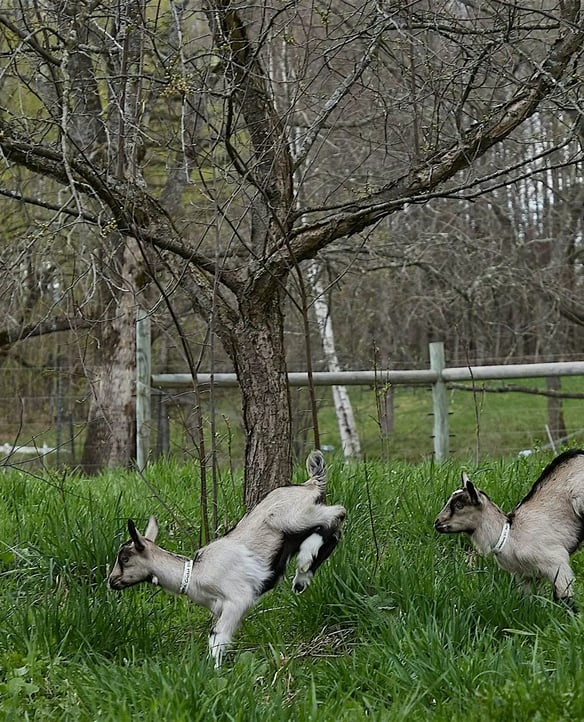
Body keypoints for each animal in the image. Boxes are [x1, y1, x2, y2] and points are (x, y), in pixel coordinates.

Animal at [107, 450, 346, 666]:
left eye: (125, 558)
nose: (111, 581)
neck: (195, 574)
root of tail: (310, 484)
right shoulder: (220, 609)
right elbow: (215, 636)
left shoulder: (238, 600)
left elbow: (218, 637)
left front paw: (214, 671)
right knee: (333, 531)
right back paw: (302, 578)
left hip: (293, 518)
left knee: (337, 513)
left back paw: (305, 560)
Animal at [435, 449, 584, 607]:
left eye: (459, 506)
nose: (437, 523)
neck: (509, 535)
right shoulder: (524, 576)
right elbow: (527, 602)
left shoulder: (557, 564)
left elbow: (565, 600)